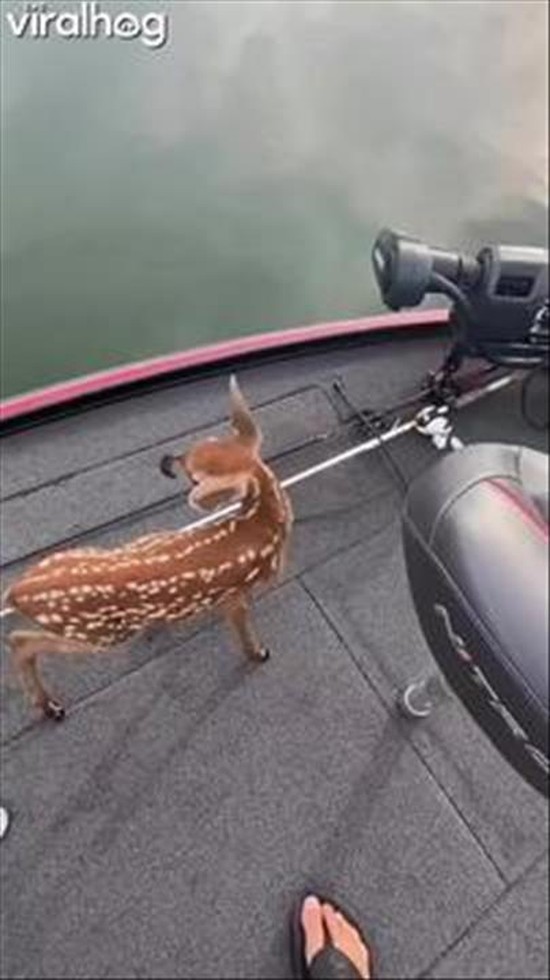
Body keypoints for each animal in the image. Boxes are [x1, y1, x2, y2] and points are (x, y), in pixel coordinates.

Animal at [2, 377, 293, 722]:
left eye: (195, 476)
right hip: (98, 633)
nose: (166, 461)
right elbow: (244, 630)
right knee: (19, 641)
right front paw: (259, 653)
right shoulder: (234, 595)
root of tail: (16, 591)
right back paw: (50, 707)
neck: (262, 525)